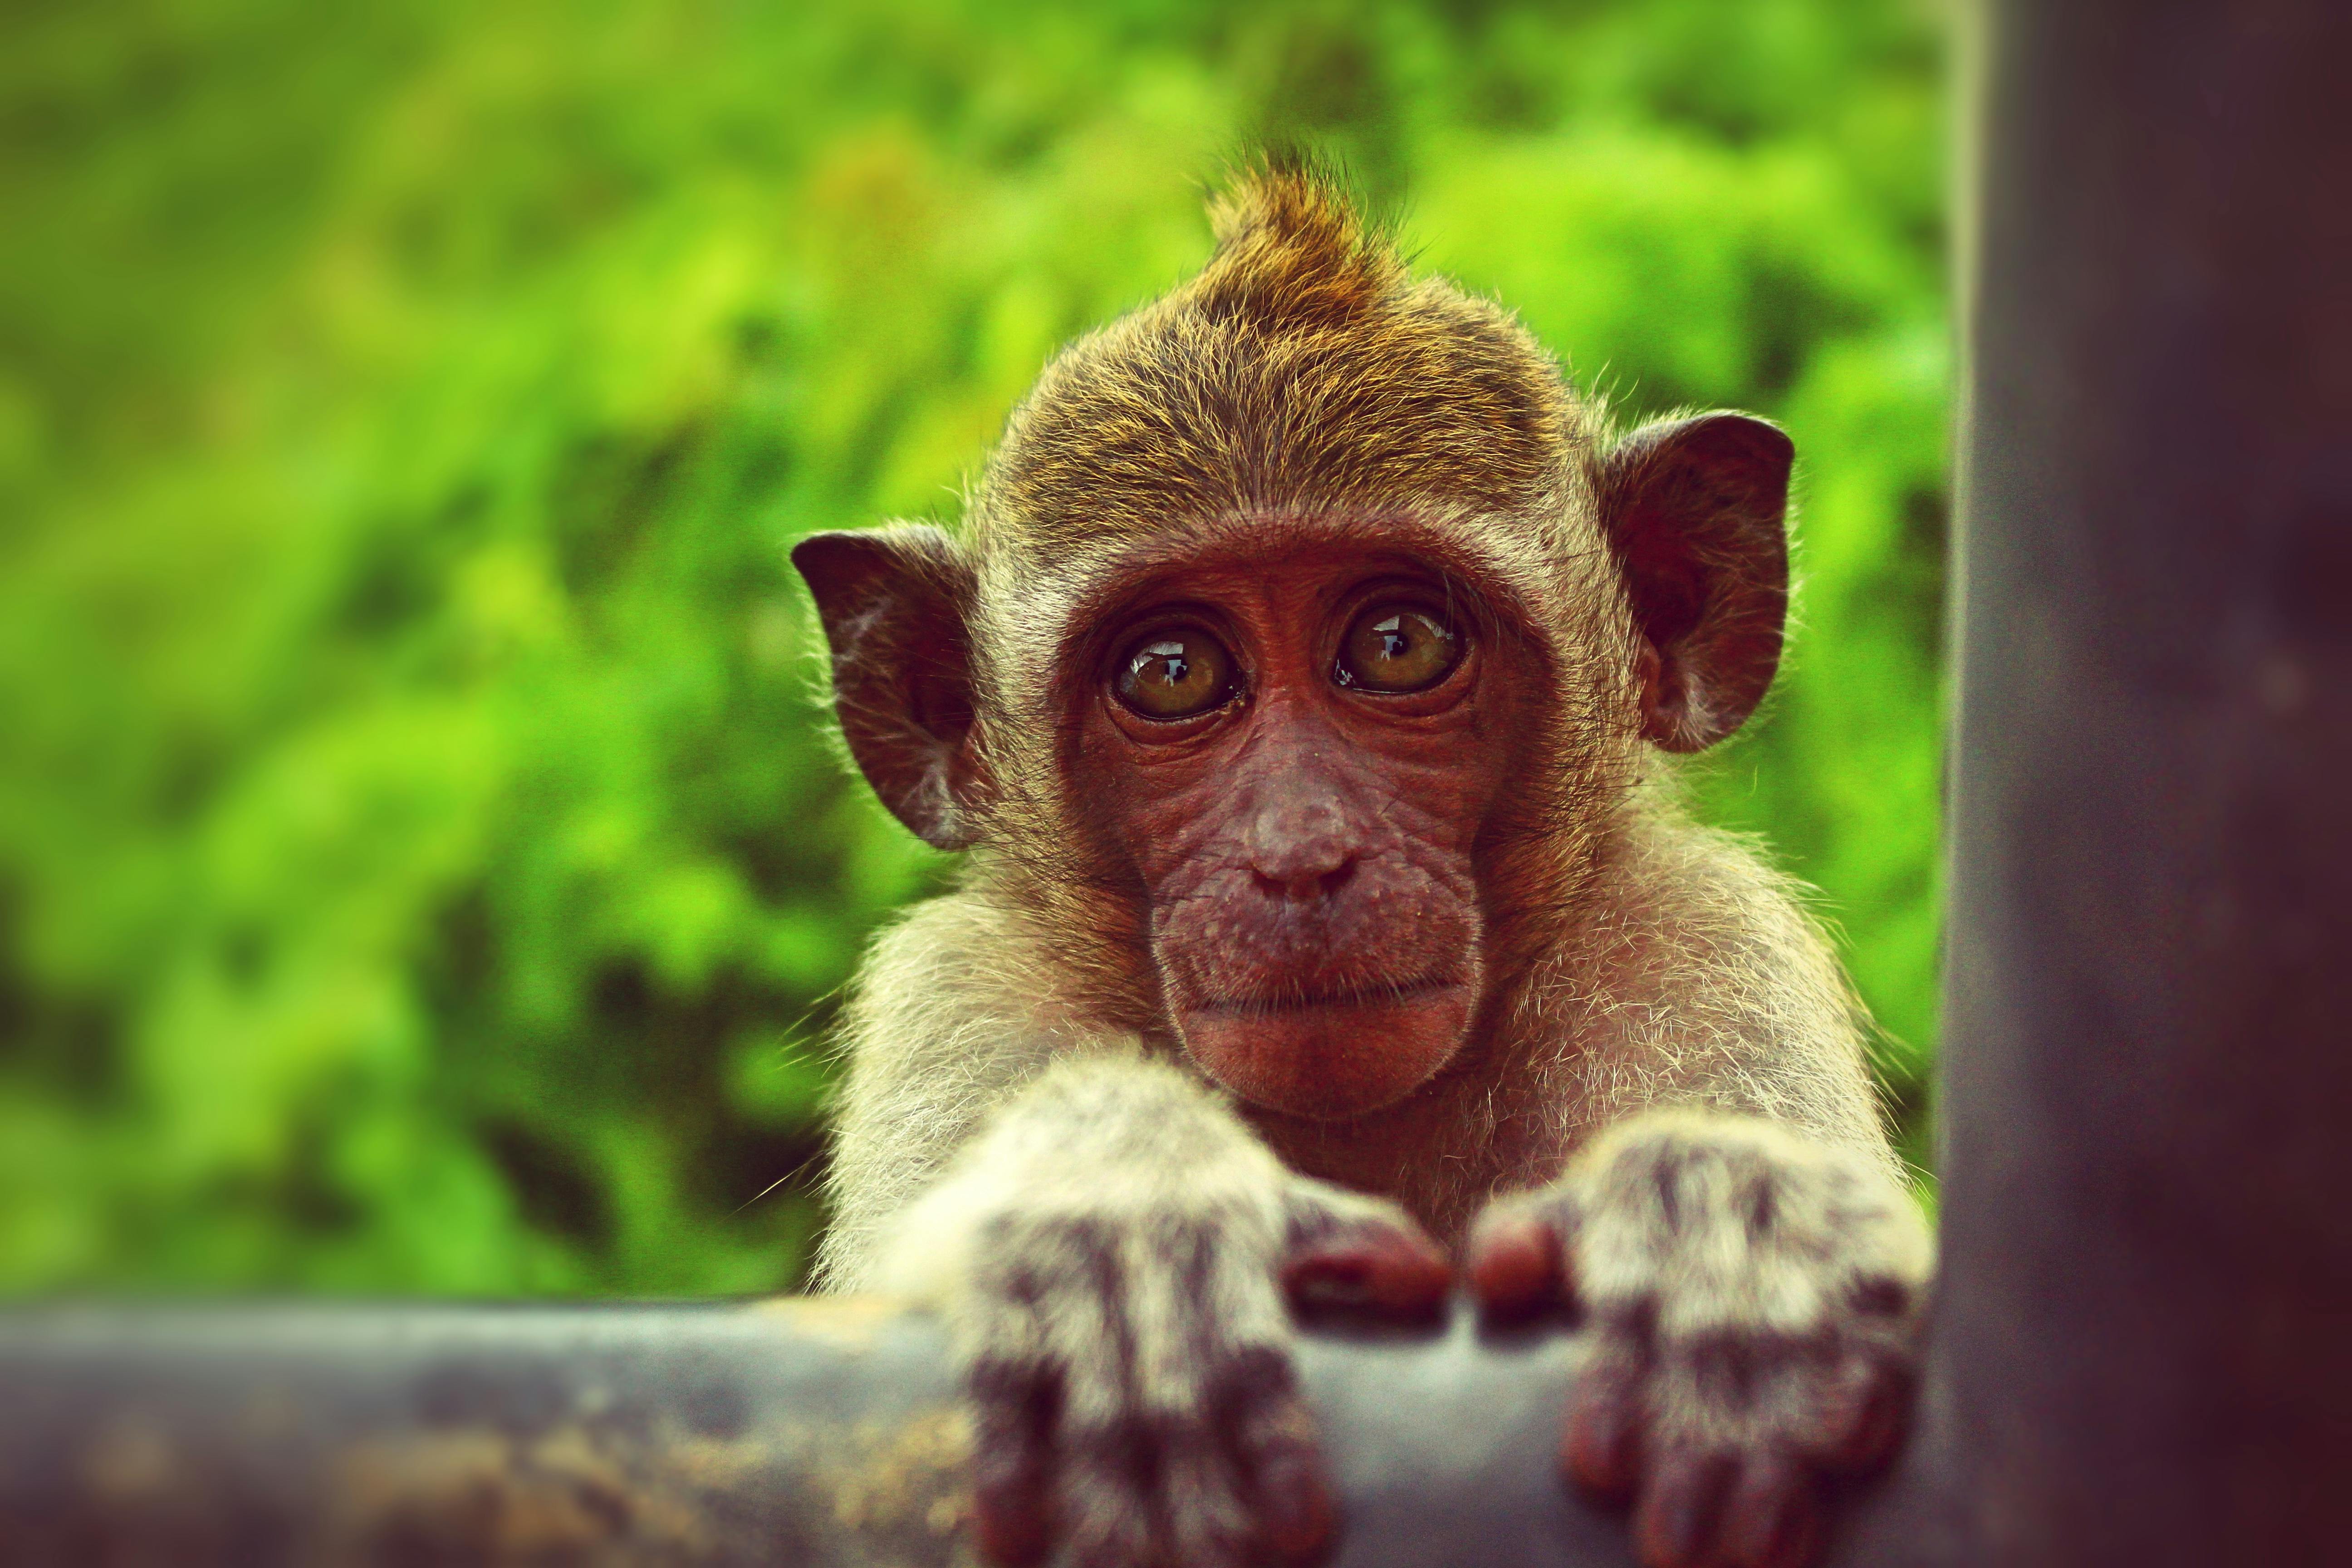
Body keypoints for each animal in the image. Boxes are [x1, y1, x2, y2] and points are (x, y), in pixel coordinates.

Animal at [790, 162, 1928, 1568]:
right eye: (1172, 672)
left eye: (1397, 644)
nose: (1299, 856)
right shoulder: (961, 995)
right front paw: (1120, 1215)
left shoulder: (1701, 943)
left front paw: (1720, 1209)